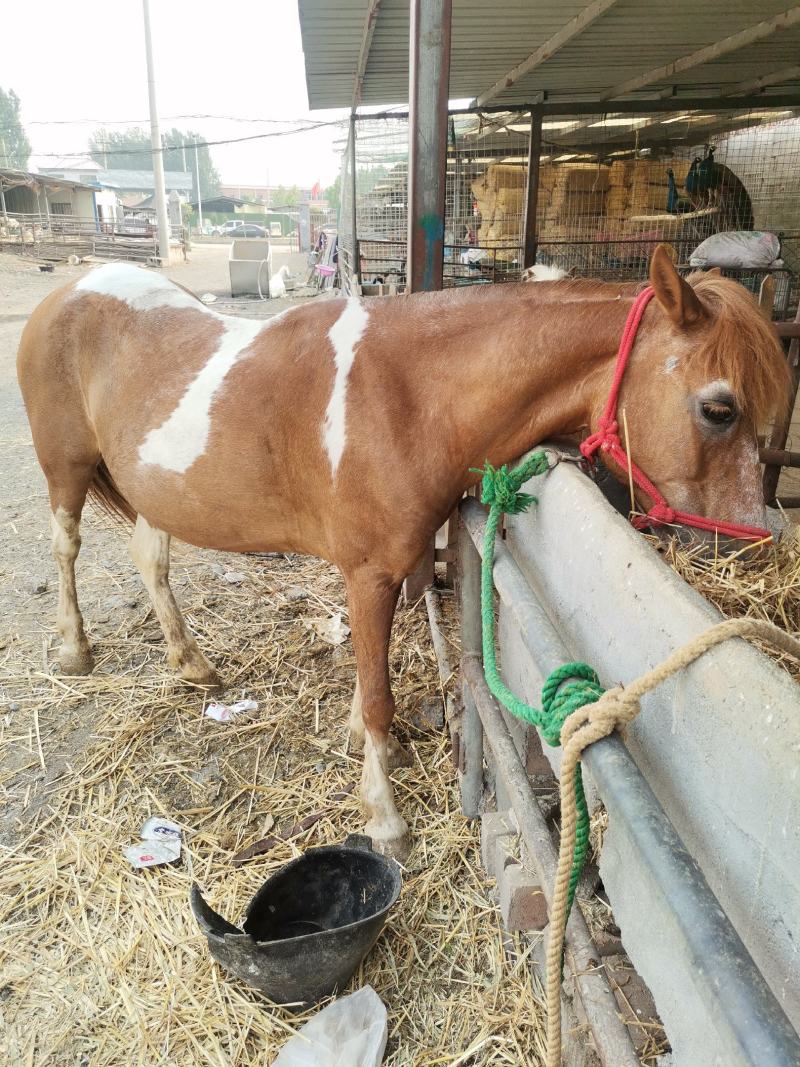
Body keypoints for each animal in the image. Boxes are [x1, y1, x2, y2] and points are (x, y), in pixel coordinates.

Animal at [17, 246, 789, 859]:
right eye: (719, 408)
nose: (748, 549)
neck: (411, 396)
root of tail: (67, 291)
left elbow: (371, 683)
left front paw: (370, 748)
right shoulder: (370, 574)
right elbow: (379, 696)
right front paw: (384, 816)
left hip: (157, 492)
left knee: (151, 558)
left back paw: (193, 664)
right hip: (64, 469)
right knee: (65, 545)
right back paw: (74, 649)